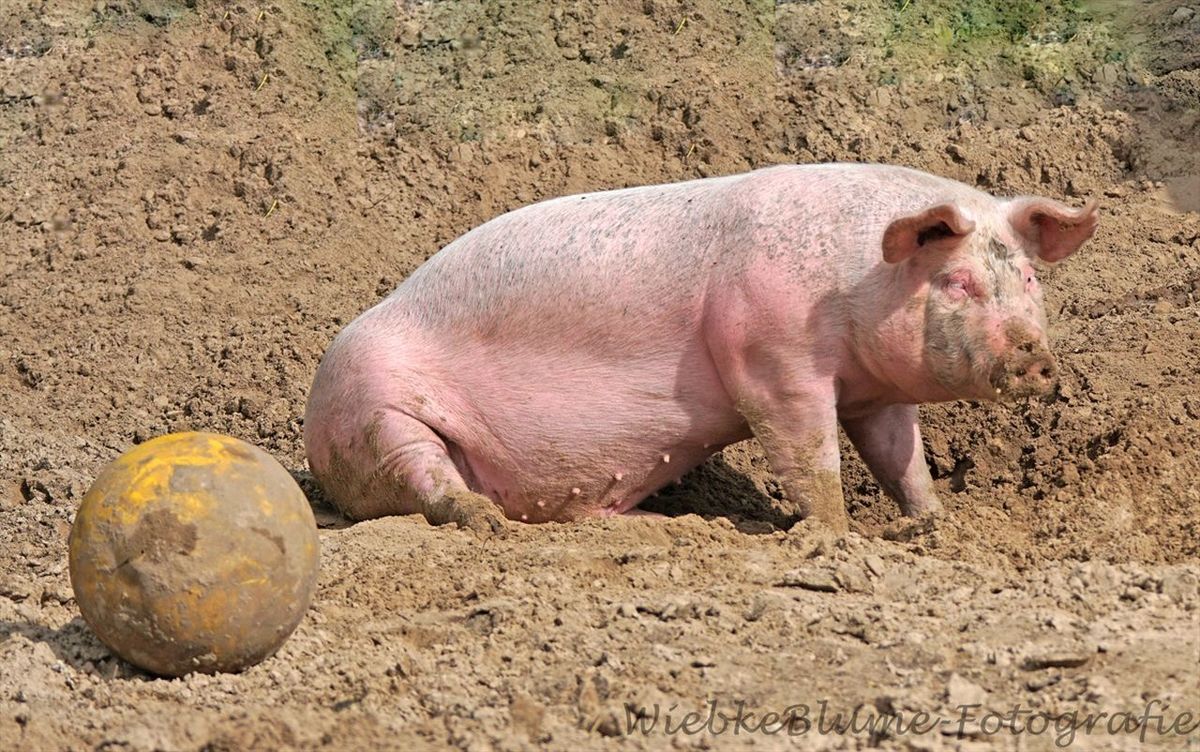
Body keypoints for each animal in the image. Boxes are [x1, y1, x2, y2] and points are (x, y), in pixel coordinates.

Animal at [302, 163, 1099, 534]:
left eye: (1028, 275)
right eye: (957, 280)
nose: (1034, 355)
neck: (853, 281)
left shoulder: (876, 394)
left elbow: (901, 458)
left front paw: (937, 524)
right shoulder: (770, 358)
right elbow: (808, 452)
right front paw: (835, 535)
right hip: (374, 407)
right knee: (422, 479)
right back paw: (483, 519)